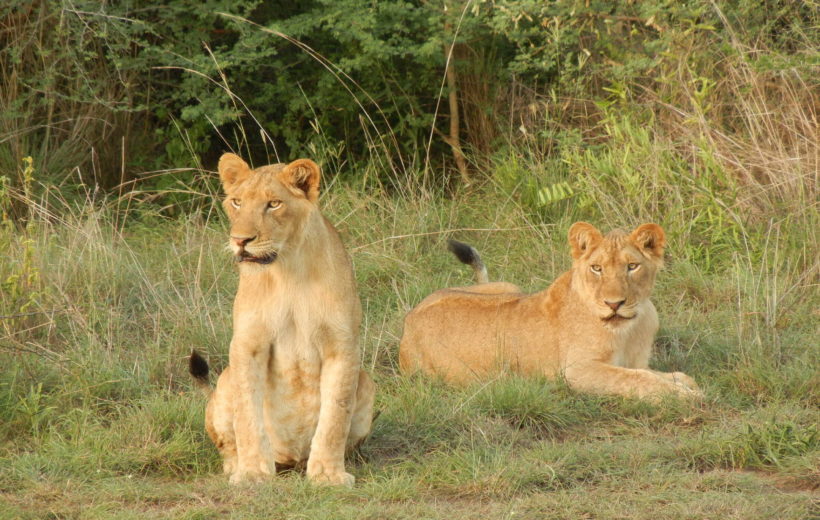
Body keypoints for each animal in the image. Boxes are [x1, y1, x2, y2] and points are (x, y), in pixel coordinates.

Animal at [189, 152, 374, 486]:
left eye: (273, 204)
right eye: (236, 202)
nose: (240, 240)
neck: (289, 270)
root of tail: (291, 459)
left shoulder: (342, 345)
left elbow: (335, 415)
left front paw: (328, 475)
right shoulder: (247, 344)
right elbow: (247, 414)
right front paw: (251, 473)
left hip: (367, 381)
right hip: (225, 381)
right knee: (228, 442)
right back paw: (236, 465)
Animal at [398, 221, 700, 400]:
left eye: (632, 266)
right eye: (597, 268)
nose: (614, 304)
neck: (631, 328)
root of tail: (411, 317)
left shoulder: (637, 361)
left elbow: (652, 374)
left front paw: (683, 382)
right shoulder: (576, 372)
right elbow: (635, 379)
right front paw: (683, 394)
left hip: (509, 286)